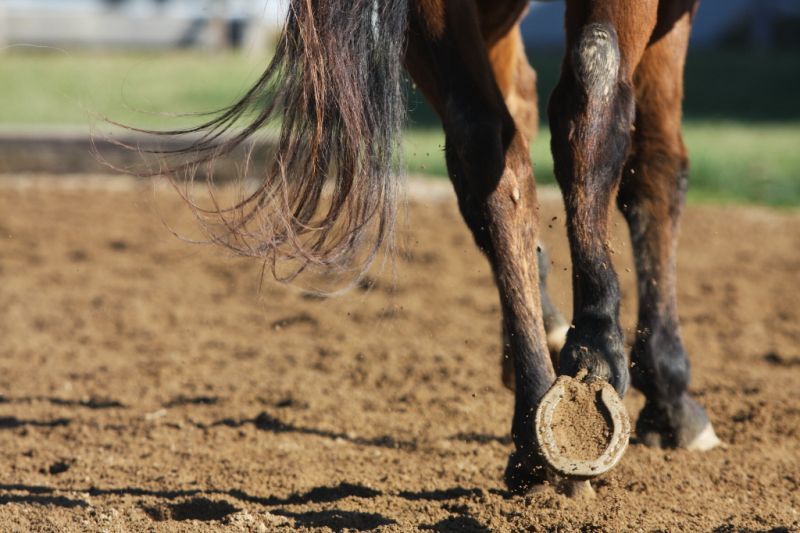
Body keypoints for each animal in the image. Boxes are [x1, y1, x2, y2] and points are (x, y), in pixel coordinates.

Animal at [143, 0, 721, 493]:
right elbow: (656, 165)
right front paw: (668, 393)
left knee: (486, 139)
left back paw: (534, 427)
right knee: (590, 89)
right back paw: (593, 359)